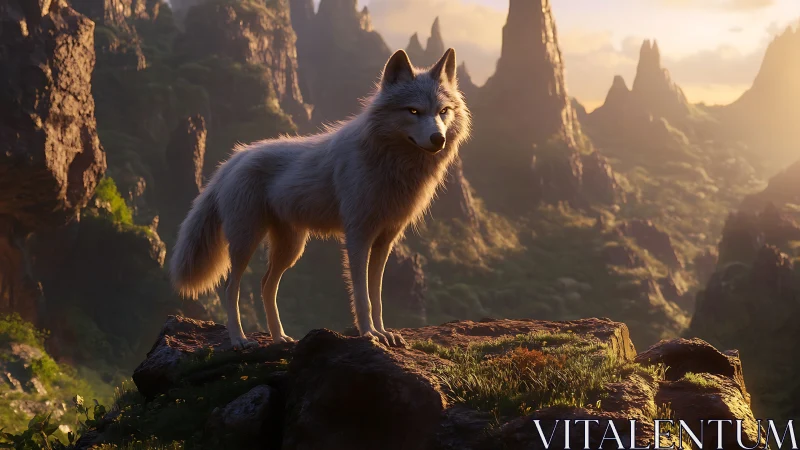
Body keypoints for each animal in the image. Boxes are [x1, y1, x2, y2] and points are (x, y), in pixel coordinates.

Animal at [169, 48, 471, 349]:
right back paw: (239, 339)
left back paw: (279, 337)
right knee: (231, 288)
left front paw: (384, 333)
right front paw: (369, 334)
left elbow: (377, 297)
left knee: (266, 285)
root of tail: (234, 158)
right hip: (247, 241)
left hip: (291, 248)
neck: (391, 163)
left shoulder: (385, 242)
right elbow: (362, 297)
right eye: (413, 111)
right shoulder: (358, 237)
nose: (438, 139)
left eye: (443, 111)